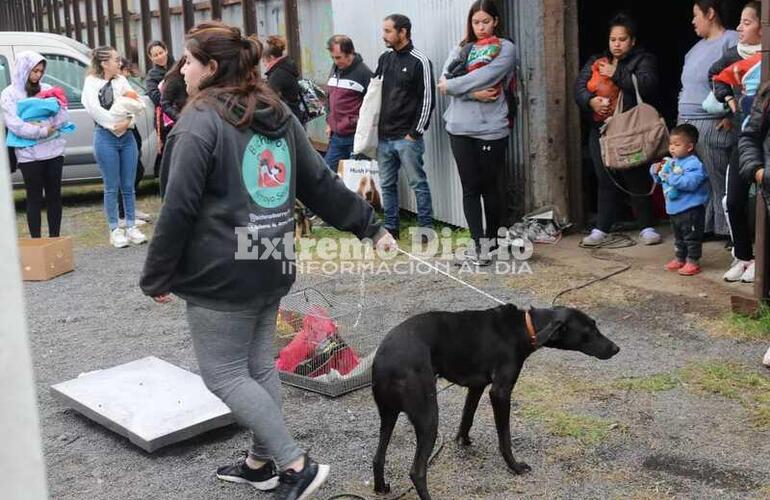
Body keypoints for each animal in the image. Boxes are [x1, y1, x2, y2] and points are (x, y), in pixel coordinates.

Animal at [368, 302, 616, 498]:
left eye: (595, 325)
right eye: (590, 330)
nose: (616, 348)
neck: (524, 328)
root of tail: (383, 361)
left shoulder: (476, 386)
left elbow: (467, 417)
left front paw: (463, 441)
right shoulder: (500, 392)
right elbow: (504, 438)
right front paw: (515, 467)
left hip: (388, 416)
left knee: (378, 457)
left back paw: (381, 487)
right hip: (428, 417)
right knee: (417, 471)